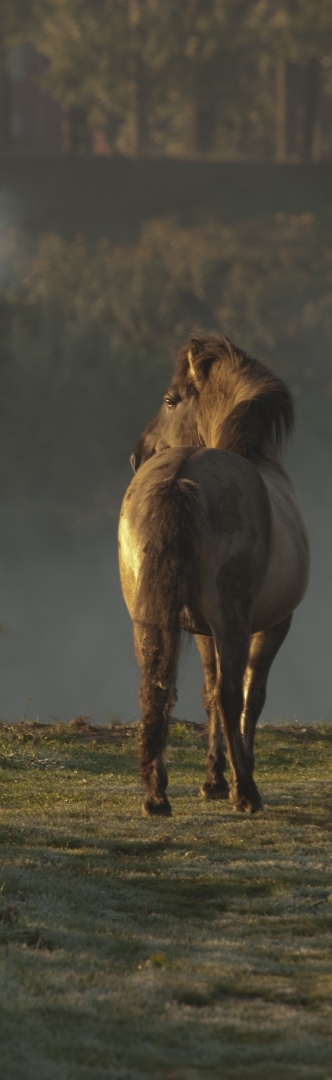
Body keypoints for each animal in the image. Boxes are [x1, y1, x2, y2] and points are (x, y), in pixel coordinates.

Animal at [118, 332, 311, 812]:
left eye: (171, 400)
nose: (136, 456)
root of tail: (180, 475)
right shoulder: (274, 623)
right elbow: (247, 697)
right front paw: (233, 778)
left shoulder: (201, 629)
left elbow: (206, 695)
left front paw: (213, 779)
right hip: (233, 621)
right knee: (230, 694)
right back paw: (247, 793)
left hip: (150, 621)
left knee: (157, 685)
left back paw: (157, 794)